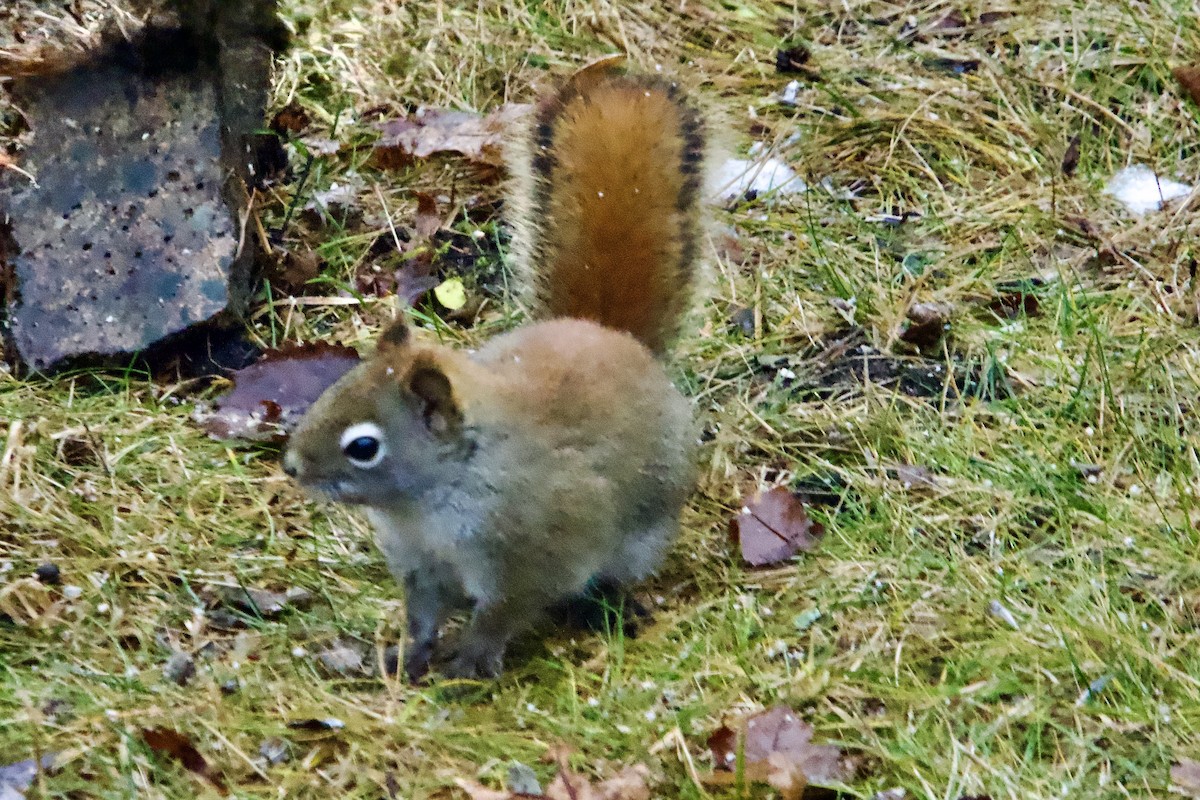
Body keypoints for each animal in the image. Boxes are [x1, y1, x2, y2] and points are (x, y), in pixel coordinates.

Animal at [283, 63, 706, 681]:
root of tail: (614, 337)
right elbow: (423, 614)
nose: (291, 467)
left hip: (644, 531)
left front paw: (471, 660)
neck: (427, 503)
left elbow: (506, 610)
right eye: (335, 386)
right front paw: (410, 655)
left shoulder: (537, 551)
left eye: (364, 447)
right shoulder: (421, 563)